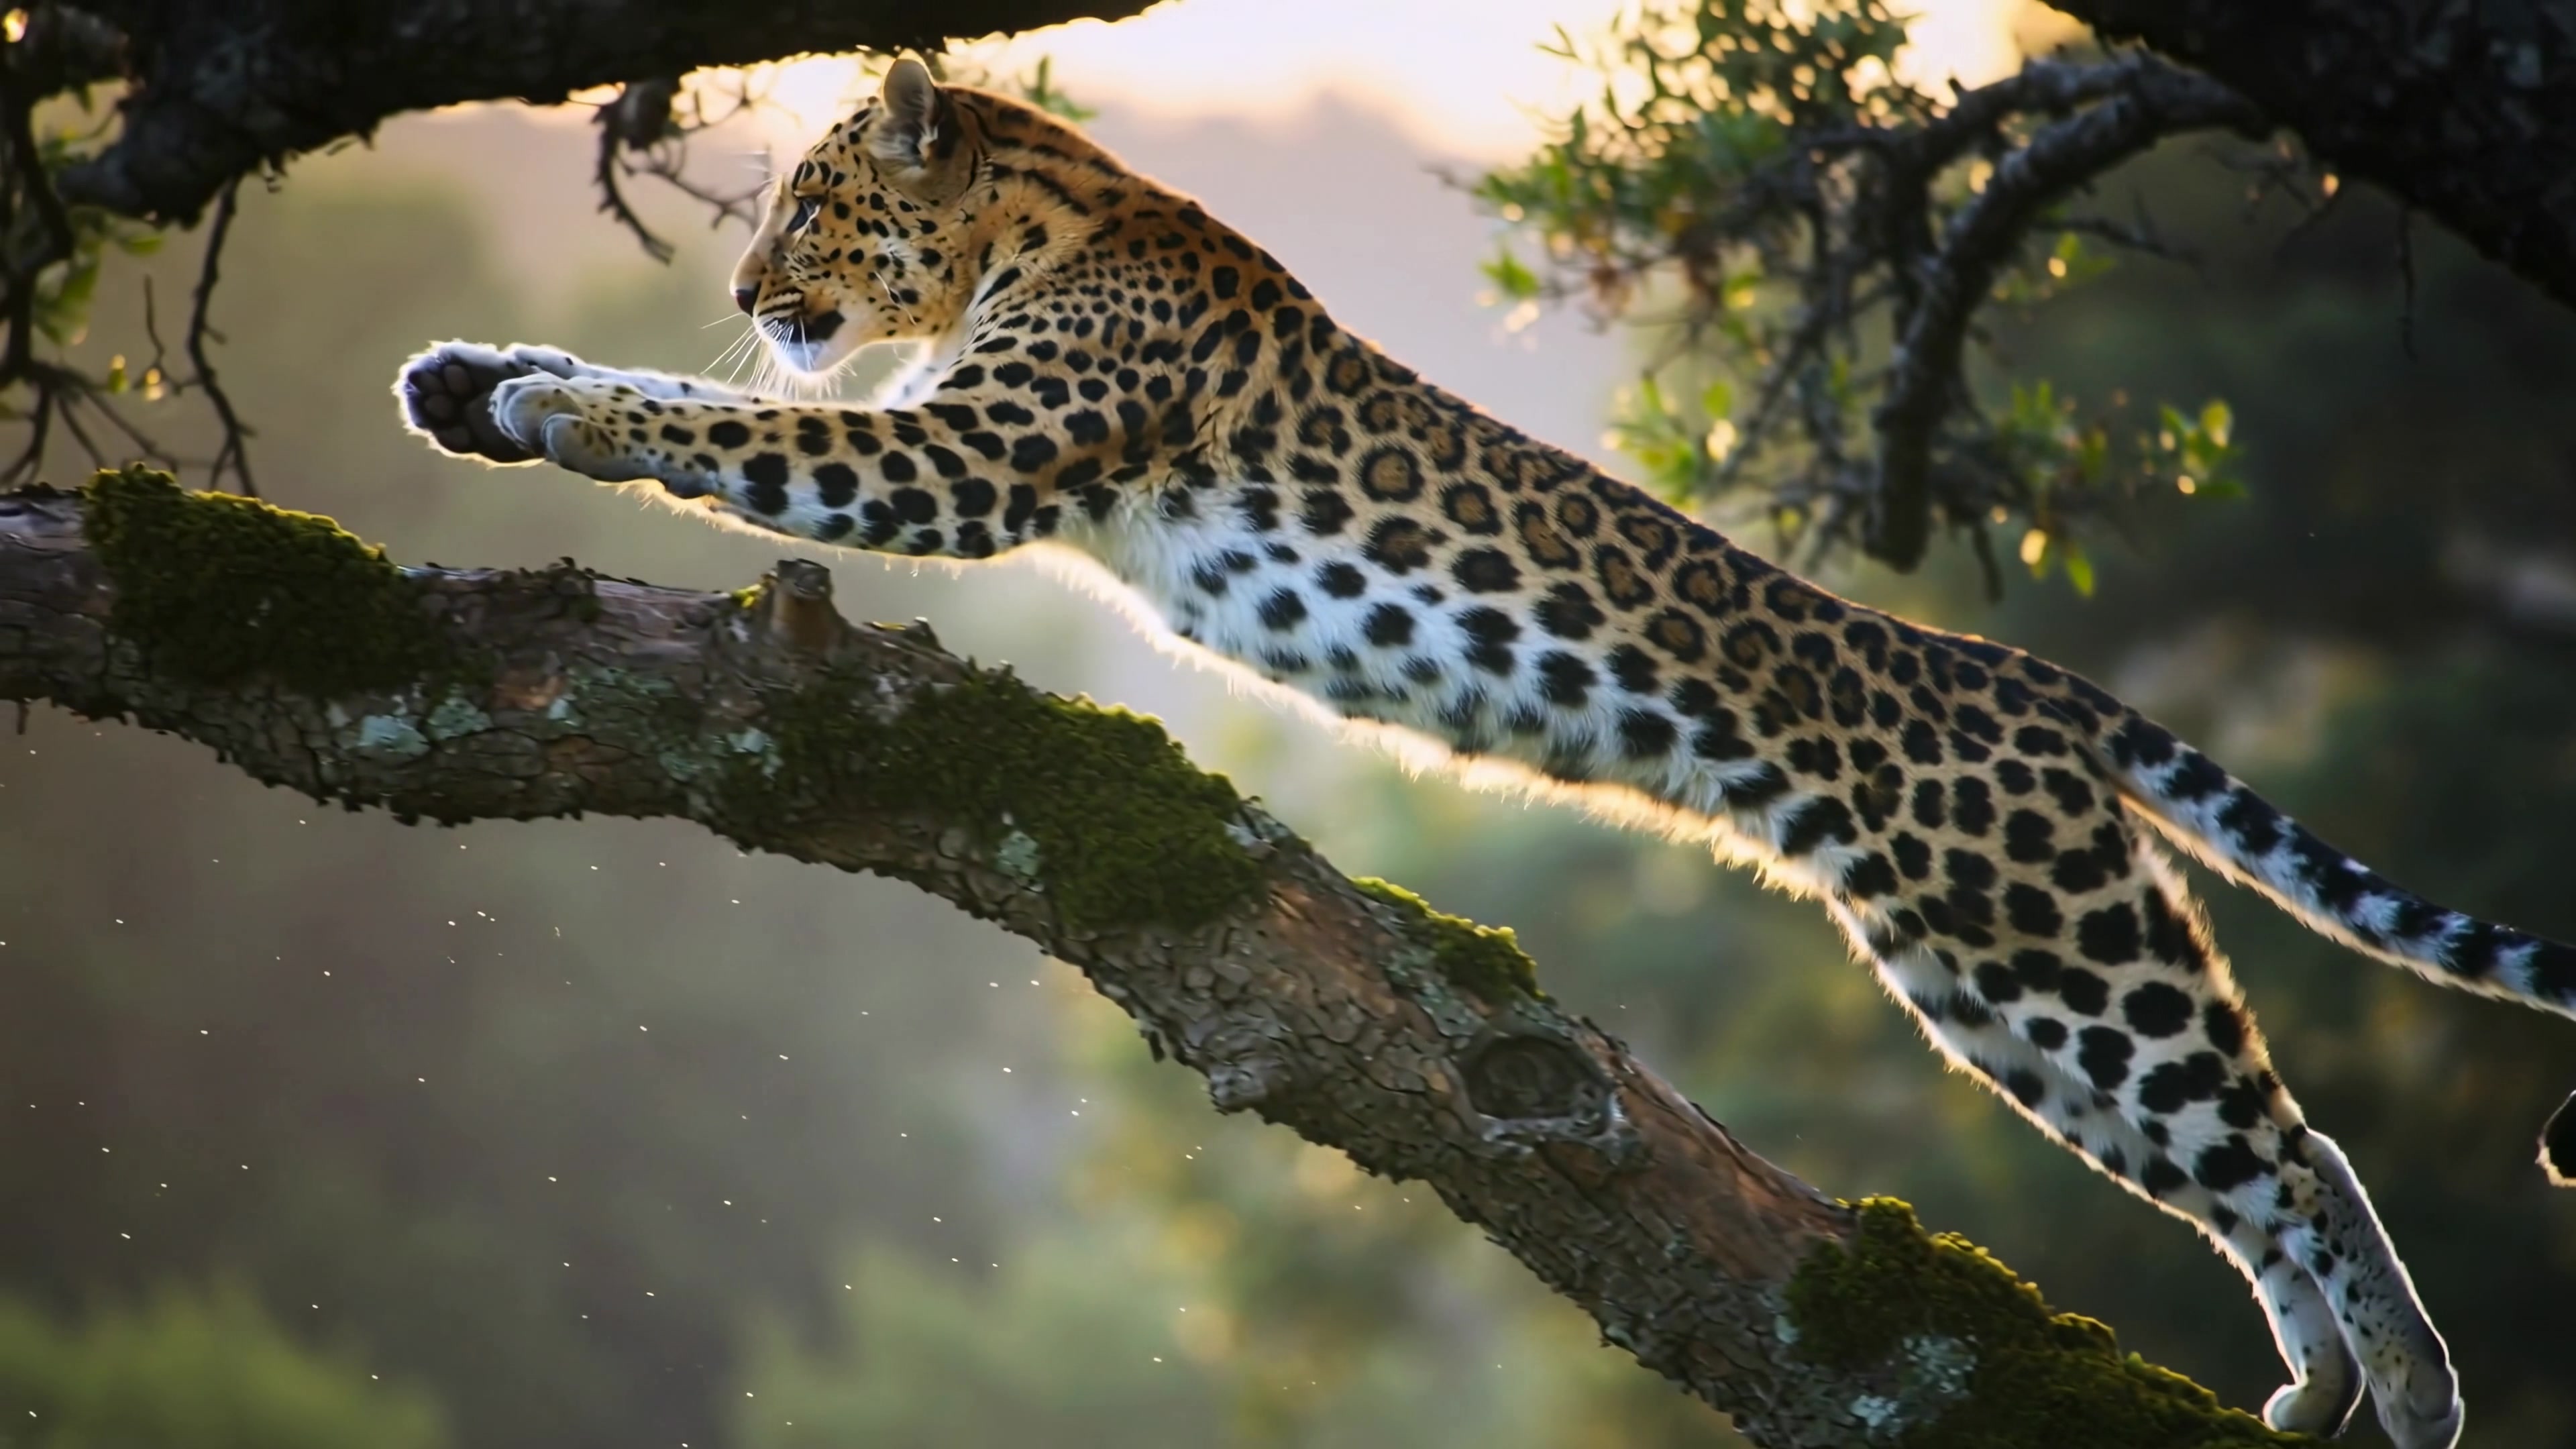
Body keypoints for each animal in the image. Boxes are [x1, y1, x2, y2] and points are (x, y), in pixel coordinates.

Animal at [395, 57, 2576, 1449]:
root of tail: (2013, 677)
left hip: (2039, 939)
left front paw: (567, 409)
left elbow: (733, 426)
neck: (1046, 212)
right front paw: (472, 379)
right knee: (2240, 1156)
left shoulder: (962, 456)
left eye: (811, 208)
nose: (752, 286)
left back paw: (2412, 1388)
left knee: (2281, 1140)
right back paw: (2315, 1386)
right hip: (1976, 979)